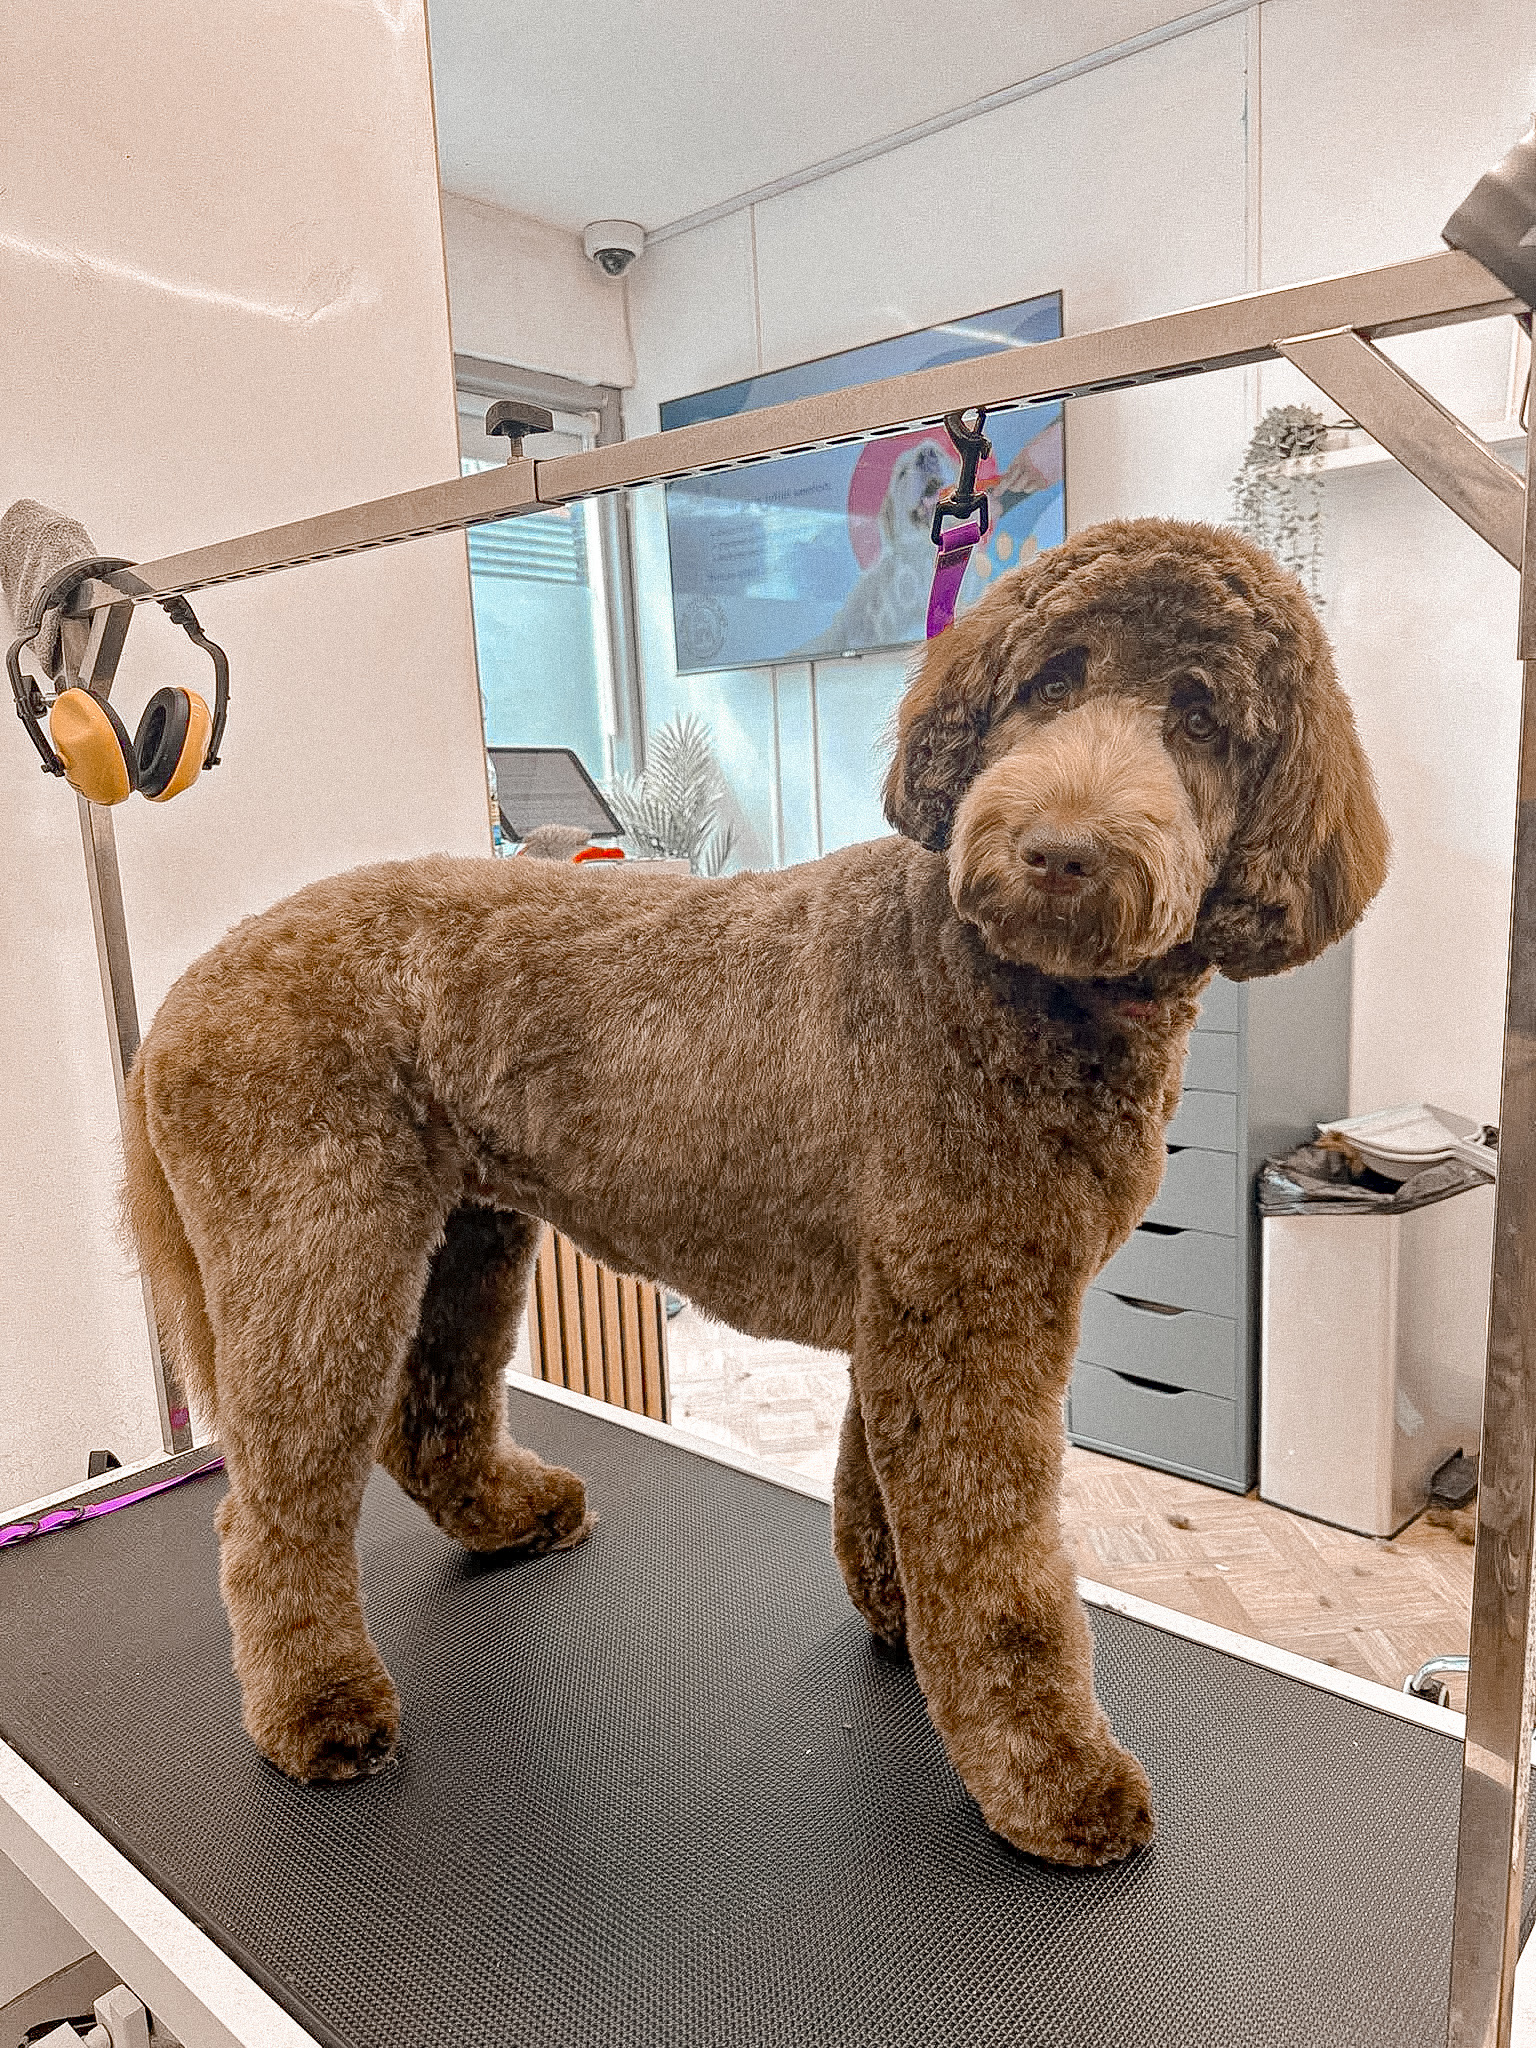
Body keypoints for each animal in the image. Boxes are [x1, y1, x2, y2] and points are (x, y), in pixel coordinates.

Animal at [121, 517, 1387, 1865]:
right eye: (1051, 681)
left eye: (1201, 716)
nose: (1059, 850)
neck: (1000, 982)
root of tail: (186, 994)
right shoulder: (976, 1313)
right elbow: (1000, 1571)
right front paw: (1046, 1772)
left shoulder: (918, 1306)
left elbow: (884, 1491)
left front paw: (901, 1628)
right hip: (318, 1247)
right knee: (274, 1508)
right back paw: (317, 1707)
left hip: (467, 1229)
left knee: (428, 1411)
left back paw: (508, 1516)